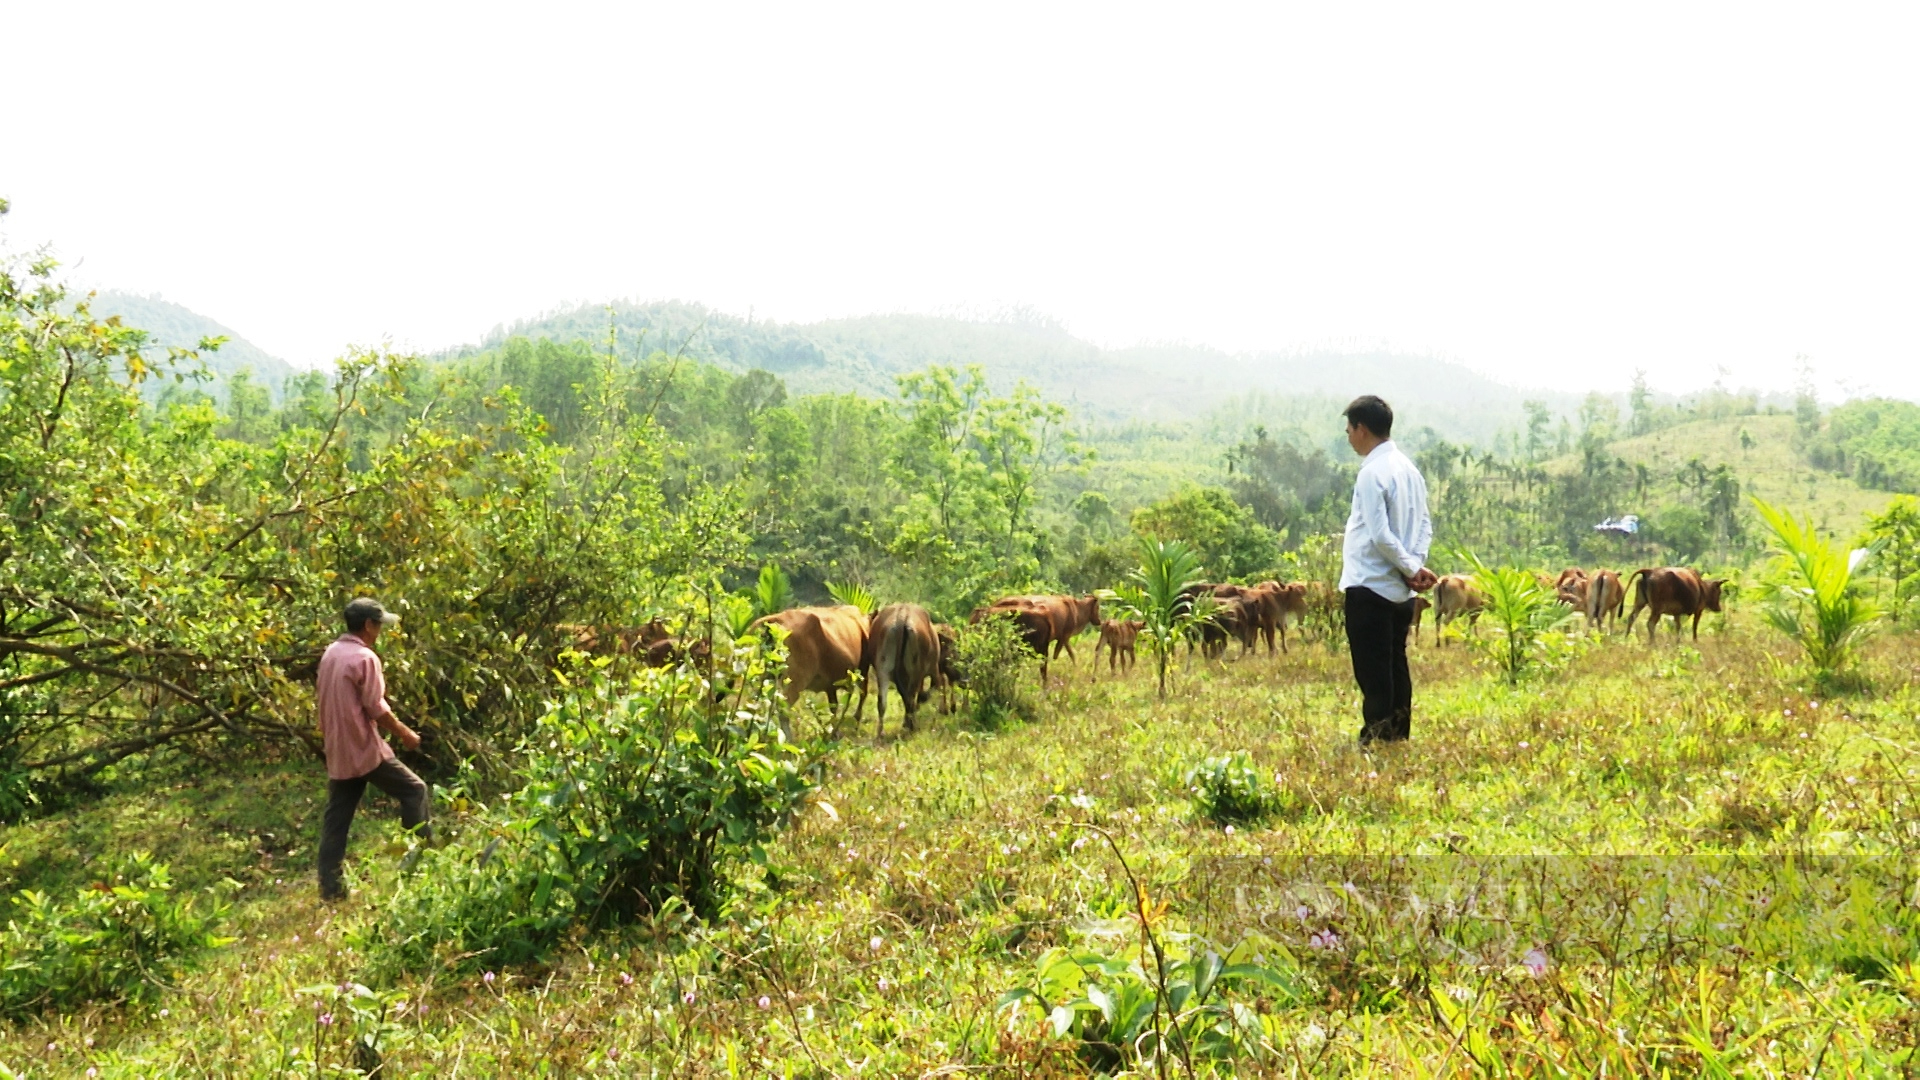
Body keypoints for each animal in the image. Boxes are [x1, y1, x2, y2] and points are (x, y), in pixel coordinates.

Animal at [860, 599, 940, 734]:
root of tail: (902, 617)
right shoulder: (933, 671)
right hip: (916, 672)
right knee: (911, 699)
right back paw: (911, 727)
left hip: (883, 670)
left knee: (882, 701)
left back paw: (881, 733)